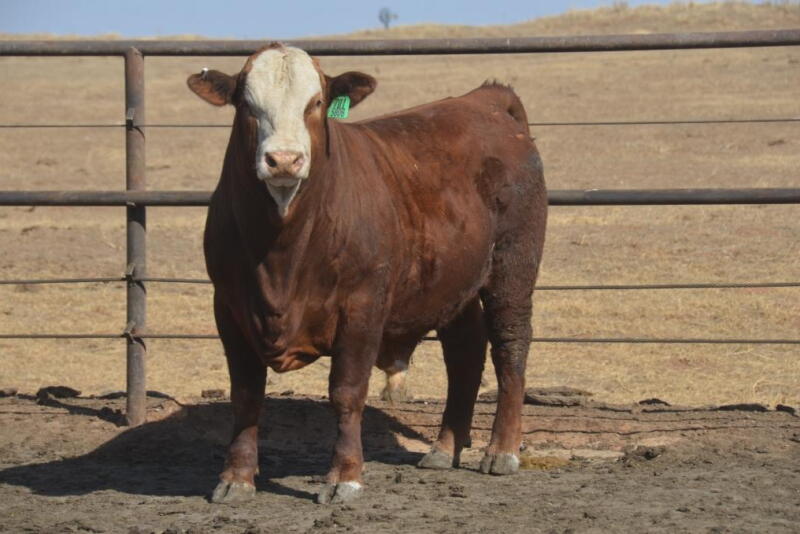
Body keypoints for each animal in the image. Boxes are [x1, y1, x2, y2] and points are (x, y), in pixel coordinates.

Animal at [187, 43, 547, 505]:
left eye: (316, 103)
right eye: (247, 104)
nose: (284, 160)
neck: (283, 250)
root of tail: (486, 101)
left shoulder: (361, 308)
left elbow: (346, 393)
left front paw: (344, 477)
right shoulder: (230, 308)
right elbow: (246, 397)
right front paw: (236, 478)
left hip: (512, 267)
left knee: (510, 348)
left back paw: (502, 450)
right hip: (453, 283)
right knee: (465, 353)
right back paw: (444, 447)